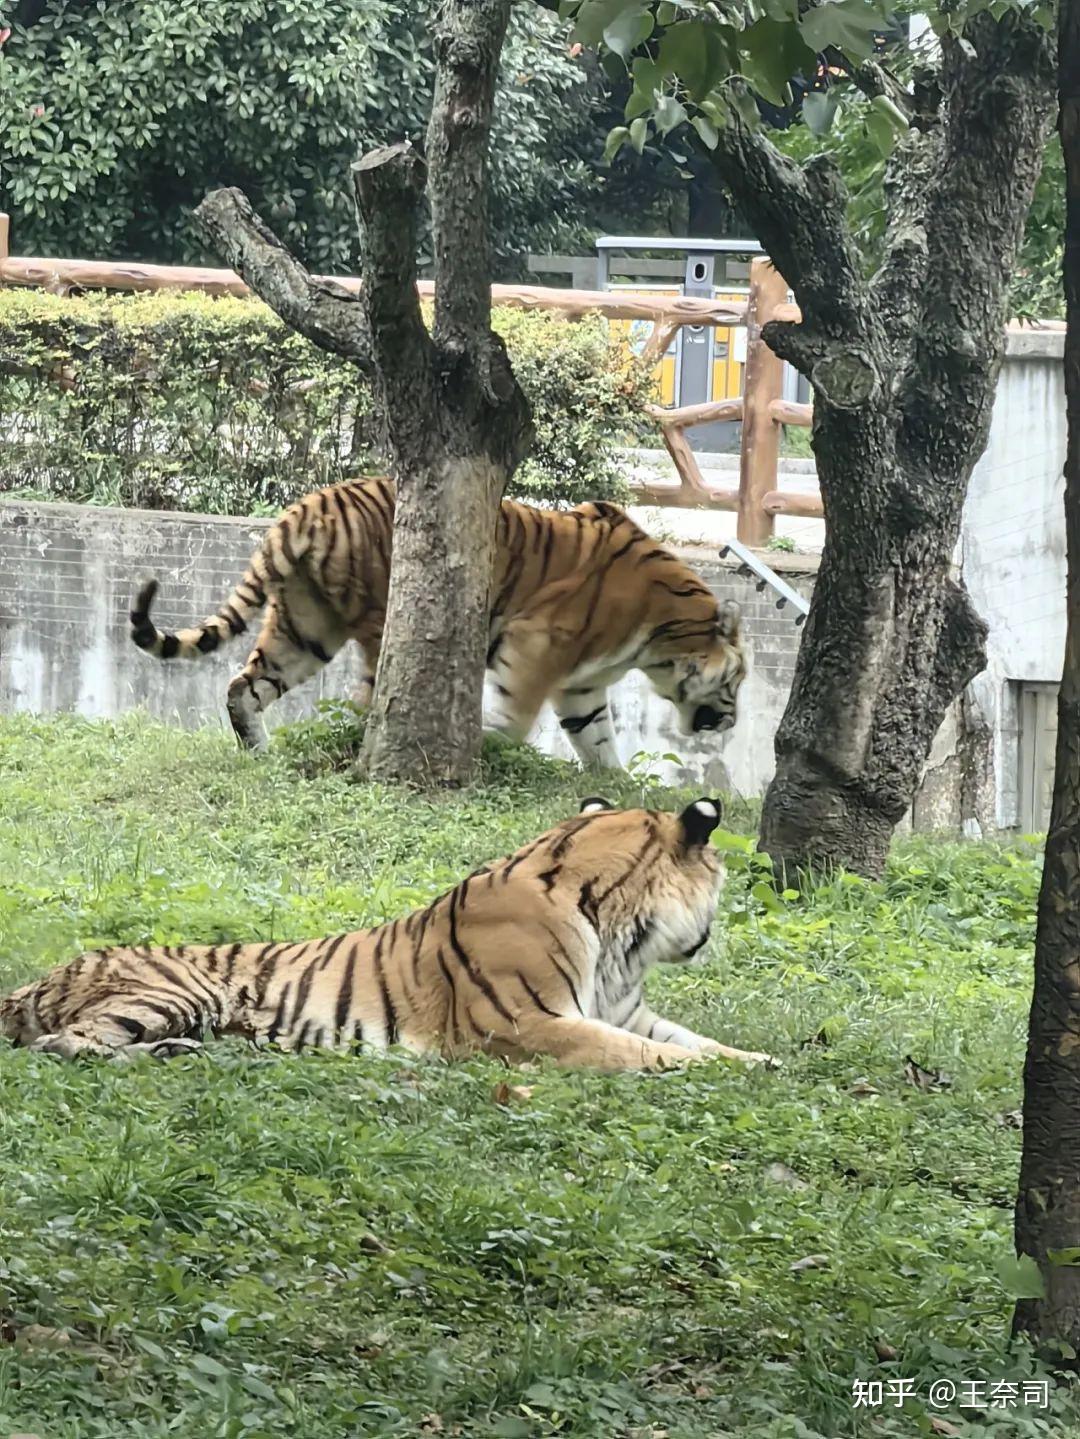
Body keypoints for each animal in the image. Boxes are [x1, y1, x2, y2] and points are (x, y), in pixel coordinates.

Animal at [0, 794, 776, 1076]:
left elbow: (695, 1040)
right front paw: (727, 1072)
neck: (622, 941)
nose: (709, 935)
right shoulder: (529, 1024)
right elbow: (649, 1054)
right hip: (178, 990)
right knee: (63, 1044)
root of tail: (40, 977)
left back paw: (182, 1053)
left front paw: (763, 1060)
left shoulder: (625, 1009)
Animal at [130, 474, 747, 771]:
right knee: (367, 704)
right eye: (738, 682)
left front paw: (616, 785)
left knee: (244, 686)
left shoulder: (583, 686)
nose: (734, 722)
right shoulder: (536, 645)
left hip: (304, 627)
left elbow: (598, 740)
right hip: (382, 623)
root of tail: (307, 508)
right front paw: (491, 749)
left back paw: (261, 752)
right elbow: (514, 719)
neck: (660, 638)